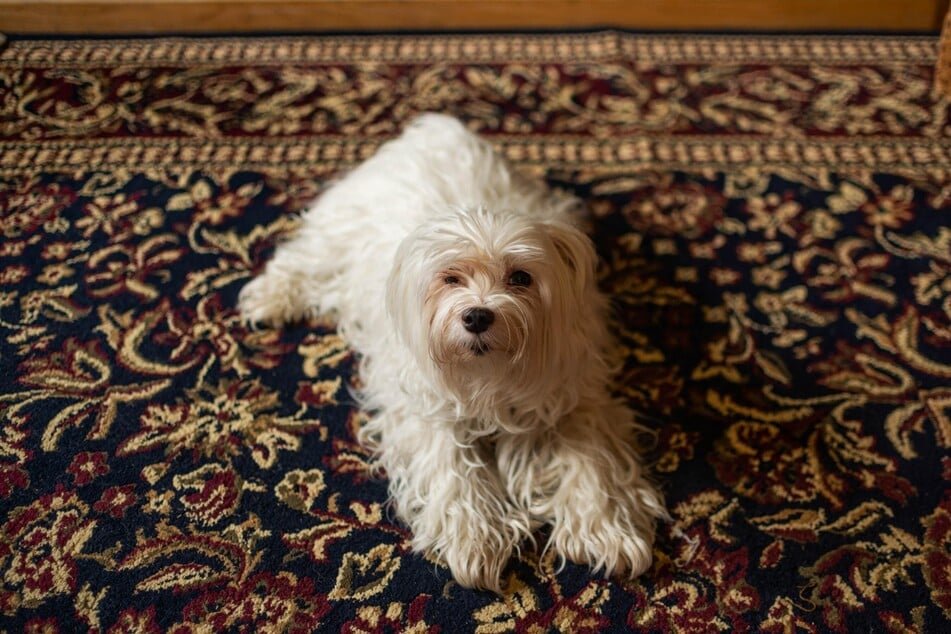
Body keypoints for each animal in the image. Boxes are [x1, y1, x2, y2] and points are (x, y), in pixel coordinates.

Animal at [242, 112, 664, 588]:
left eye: (521, 277)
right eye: (450, 278)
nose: (477, 316)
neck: (489, 374)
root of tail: (435, 125)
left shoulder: (576, 395)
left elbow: (591, 462)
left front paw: (608, 528)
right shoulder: (425, 406)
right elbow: (452, 464)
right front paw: (474, 537)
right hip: (337, 234)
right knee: (300, 260)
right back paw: (270, 299)